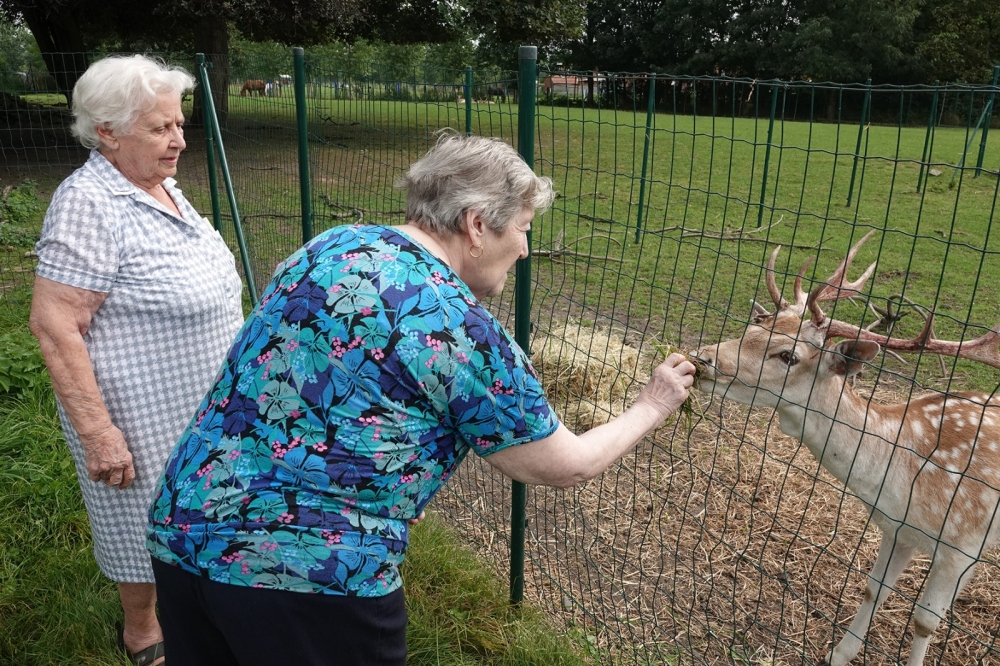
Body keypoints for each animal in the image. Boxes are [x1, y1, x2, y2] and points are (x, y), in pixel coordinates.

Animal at [692, 230, 1000, 664]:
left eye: (788, 355)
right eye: (754, 328)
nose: (703, 358)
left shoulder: (963, 546)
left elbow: (925, 621)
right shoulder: (896, 529)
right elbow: (873, 589)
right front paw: (839, 654)